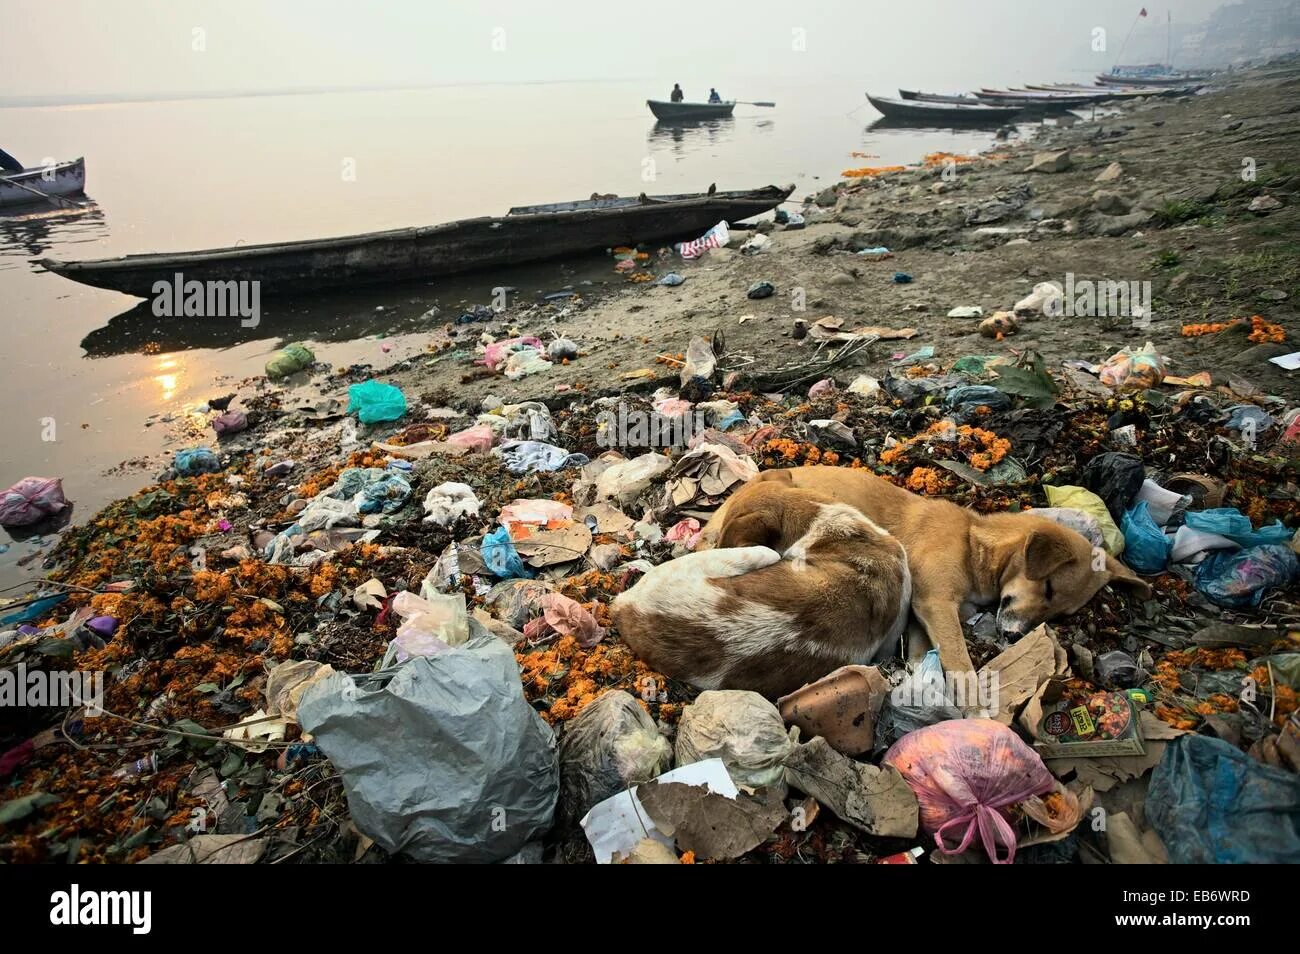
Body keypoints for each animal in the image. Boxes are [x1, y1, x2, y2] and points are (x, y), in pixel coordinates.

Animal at [702, 467, 1149, 675]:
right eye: (1050, 587)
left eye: (1060, 613)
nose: (1014, 637)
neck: (975, 542)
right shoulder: (935, 603)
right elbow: (959, 660)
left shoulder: (924, 615)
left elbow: (924, 652)